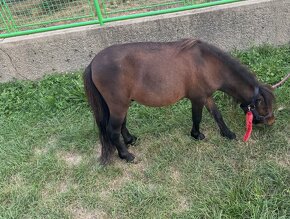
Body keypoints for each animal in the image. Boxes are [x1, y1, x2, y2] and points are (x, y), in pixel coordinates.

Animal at [83, 39, 274, 164]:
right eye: (263, 106)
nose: (271, 121)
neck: (207, 63)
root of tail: (93, 63)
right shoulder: (197, 99)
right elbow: (197, 118)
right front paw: (196, 135)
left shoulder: (207, 96)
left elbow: (217, 115)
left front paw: (227, 134)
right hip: (118, 105)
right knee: (113, 130)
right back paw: (127, 156)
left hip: (122, 104)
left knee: (121, 125)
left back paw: (130, 140)